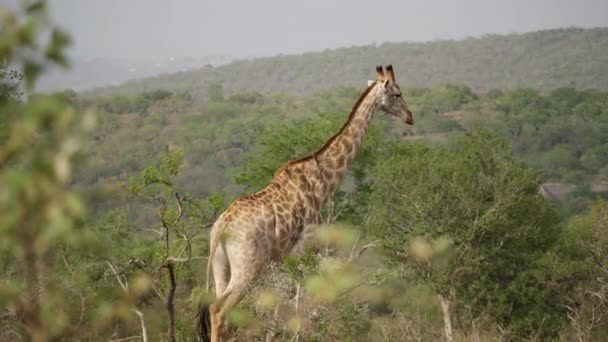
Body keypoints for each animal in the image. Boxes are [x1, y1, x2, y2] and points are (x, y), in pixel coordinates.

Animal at [202, 65, 410, 340]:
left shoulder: (286, 257)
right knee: (220, 310)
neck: (322, 179)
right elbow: (302, 300)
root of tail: (221, 229)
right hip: (248, 268)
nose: (410, 117)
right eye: (397, 93)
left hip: (221, 267)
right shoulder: (306, 247)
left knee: (218, 309)